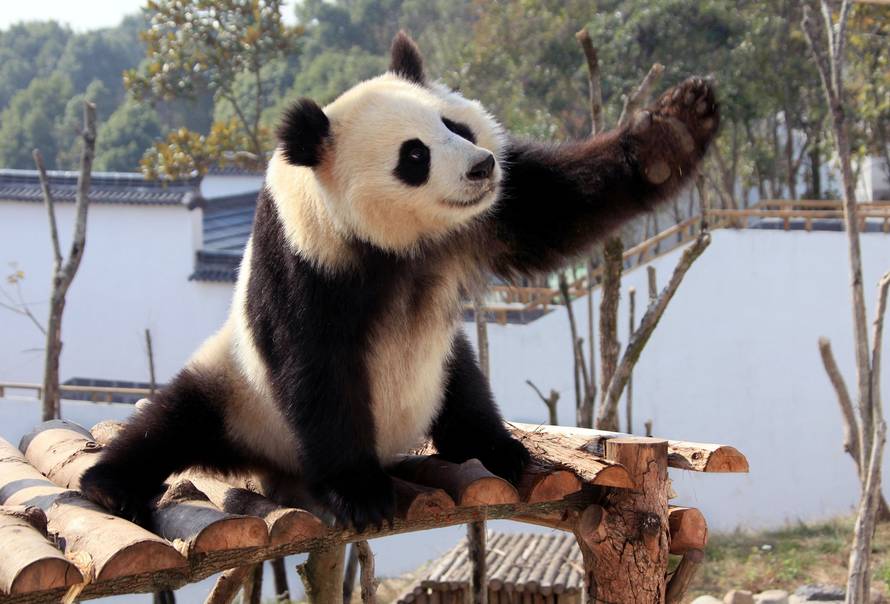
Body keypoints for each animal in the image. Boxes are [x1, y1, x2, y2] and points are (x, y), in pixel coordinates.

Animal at [80, 32, 719, 532]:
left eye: (455, 125)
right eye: (413, 156)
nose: (482, 167)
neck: (404, 241)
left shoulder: (492, 214)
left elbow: (556, 209)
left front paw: (674, 133)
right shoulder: (305, 256)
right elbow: (313, 361)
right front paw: (360, 494)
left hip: (439, 369)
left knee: (464, 395)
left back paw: (498, 450)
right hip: (239, 390)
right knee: (173, 420)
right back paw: (108, 485)